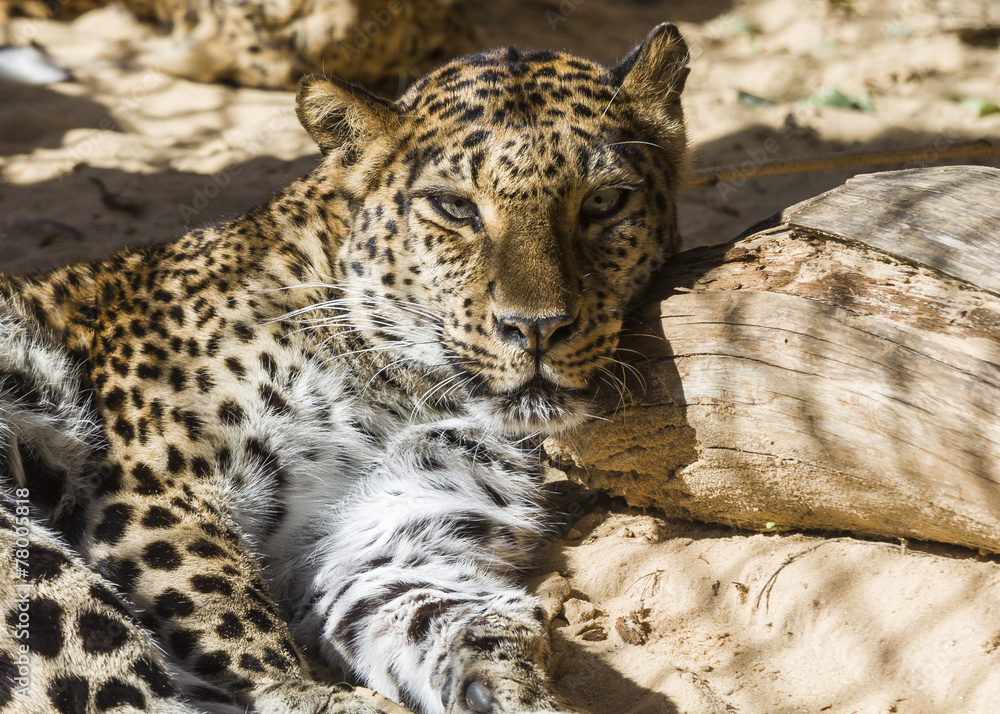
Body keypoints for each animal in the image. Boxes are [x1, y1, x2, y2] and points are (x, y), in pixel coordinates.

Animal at [0, 23, 689, 714]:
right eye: (454, 207)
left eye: (604, 202)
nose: (537, 327)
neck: (403, 388)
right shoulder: (159, 489)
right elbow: (231, 621)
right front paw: (303, 692)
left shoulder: (382, 540)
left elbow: (444, 618)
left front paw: (517, 690)